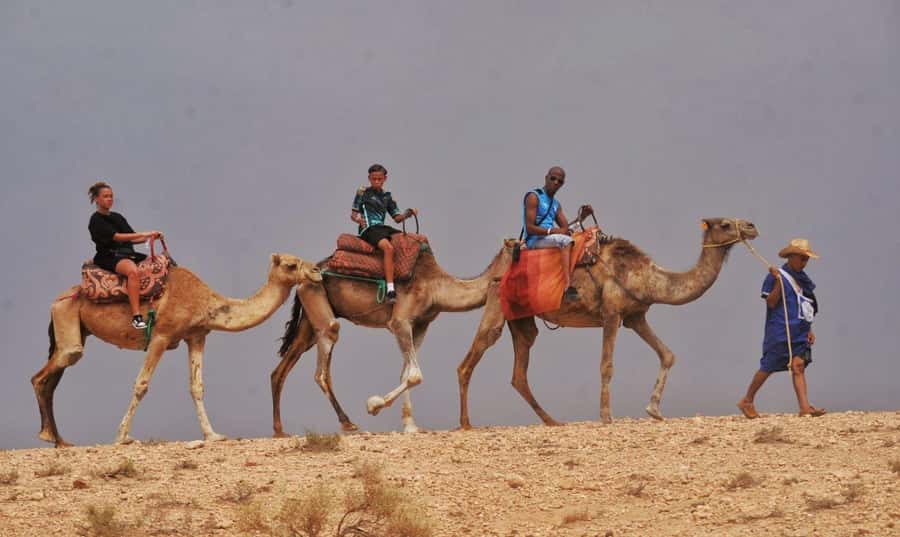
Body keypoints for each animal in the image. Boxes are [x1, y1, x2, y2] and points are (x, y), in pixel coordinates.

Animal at [31, 253, 321, 447]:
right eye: (291, 264)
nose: (317, 271)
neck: (205, 301)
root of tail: (57, 300)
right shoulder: (162, 335)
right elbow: (142, 384)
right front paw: (122, 436)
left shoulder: (196, 336)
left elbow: (197, 386)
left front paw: (213, 435)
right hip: (67, 321)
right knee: (42, 376)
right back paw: (51, 436)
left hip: (75, 331)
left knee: (50, 378)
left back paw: (58, 440)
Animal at [272, 239, 517, 435]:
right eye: (519, 249)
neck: (436, 287)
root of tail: (303, 279)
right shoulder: (400, 322)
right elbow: (415, 375)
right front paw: (374, 405)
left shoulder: (421, 325)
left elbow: (406, 374)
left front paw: (410, 425)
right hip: (319, 307)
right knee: (321, 371)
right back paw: (347, 423)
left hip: (309, 323)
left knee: (281, 371)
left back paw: (279, 430)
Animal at [456, 217, 758, 428]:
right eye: (725, 223)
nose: (751, 226)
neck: (648, 277)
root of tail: (500, 259)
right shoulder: (611, 313)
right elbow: (607, 366)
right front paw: (606, 416)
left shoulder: (635, 316)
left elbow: (667, 354)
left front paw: (654, 410)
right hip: (498, 300)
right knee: (472, 357)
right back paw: (466, 424)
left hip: (521, 318)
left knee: (520, 368)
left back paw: (552, 421)